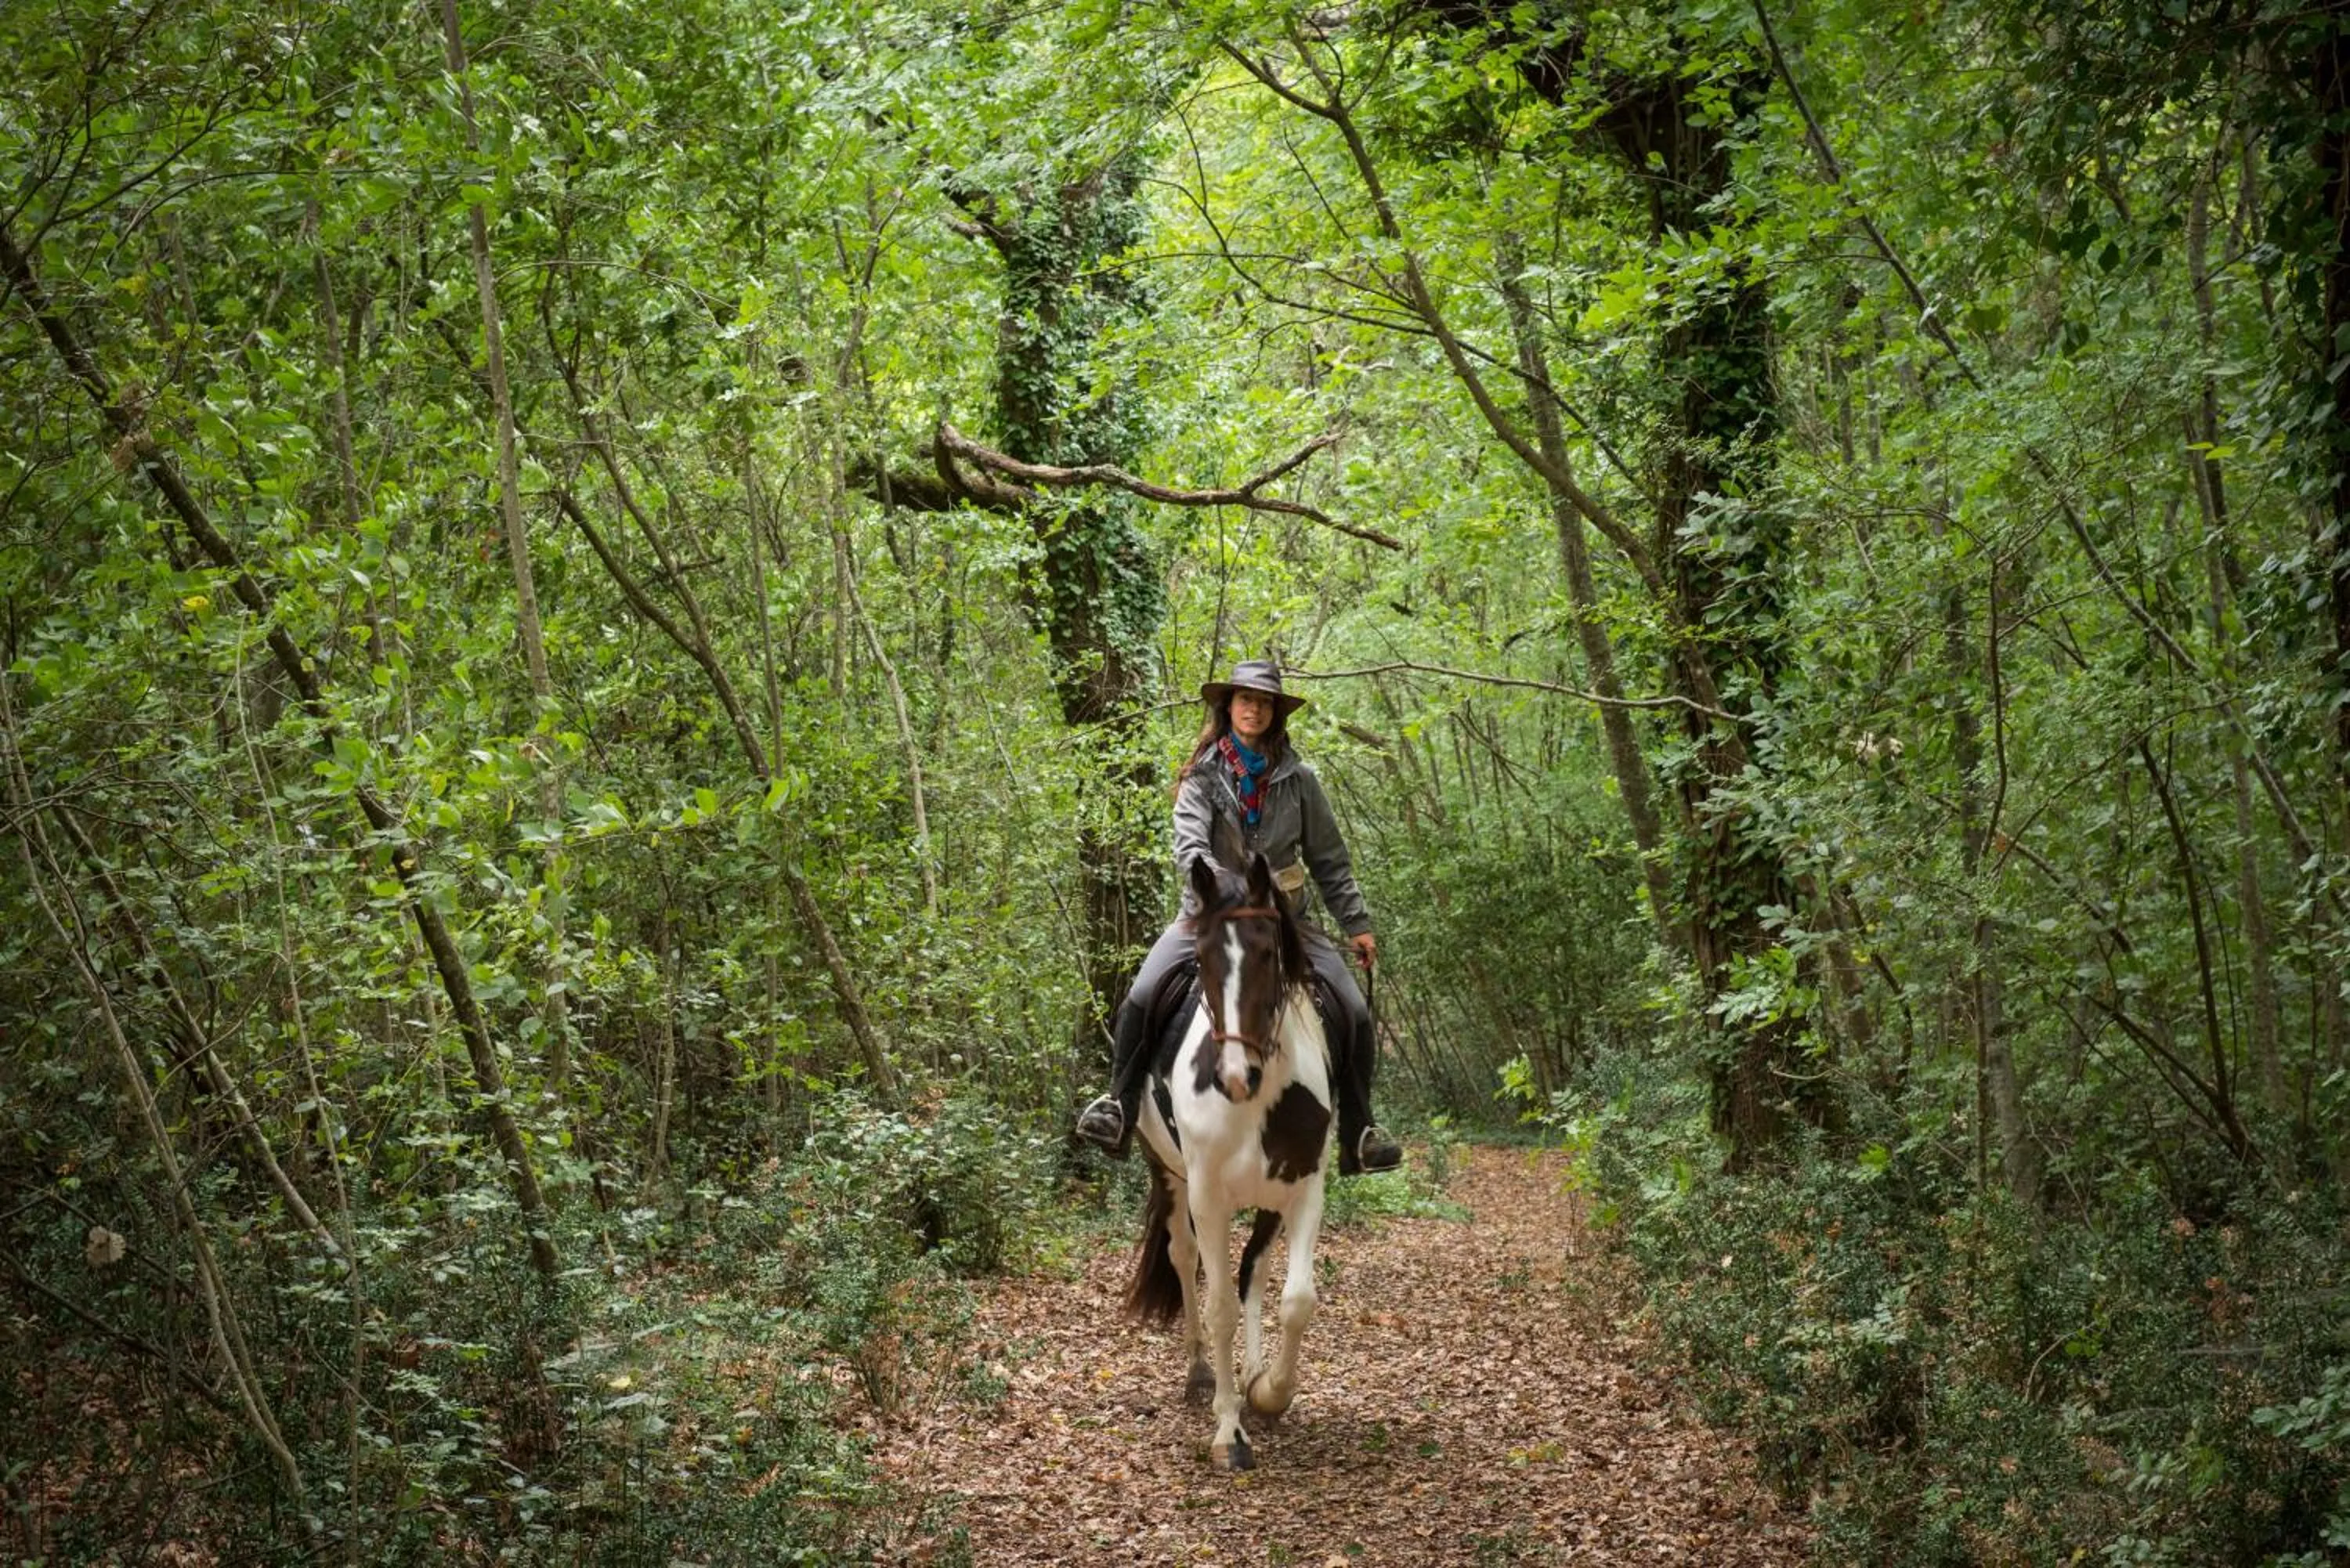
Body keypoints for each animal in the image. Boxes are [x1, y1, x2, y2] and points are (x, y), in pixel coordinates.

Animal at [1124, 844, 1333, 1472]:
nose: (1236, 1077)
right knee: (1184, 1256)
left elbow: (1295, 1299)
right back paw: (1198, 1371)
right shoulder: (1208, 1196)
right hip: (1167, 1175)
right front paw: (1228, 1432)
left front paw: (1267, 1391)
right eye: (1202, 959)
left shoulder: (1304, 1187)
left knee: (1253, 1270)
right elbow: (1218, 1304)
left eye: (1269, 953)